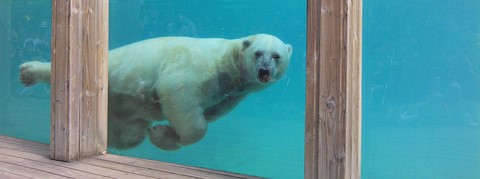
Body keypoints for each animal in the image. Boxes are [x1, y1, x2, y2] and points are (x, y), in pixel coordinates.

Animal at [18, 33, 292, 150]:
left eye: (276, 56)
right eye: (258, 52)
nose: (264, 70)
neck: (228, 65)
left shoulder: (231, 95)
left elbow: (210, 112)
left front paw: (162, 133)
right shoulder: (199, 66)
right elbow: (177, 90)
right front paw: (166, 134)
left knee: (128, 135)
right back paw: (28, 71)